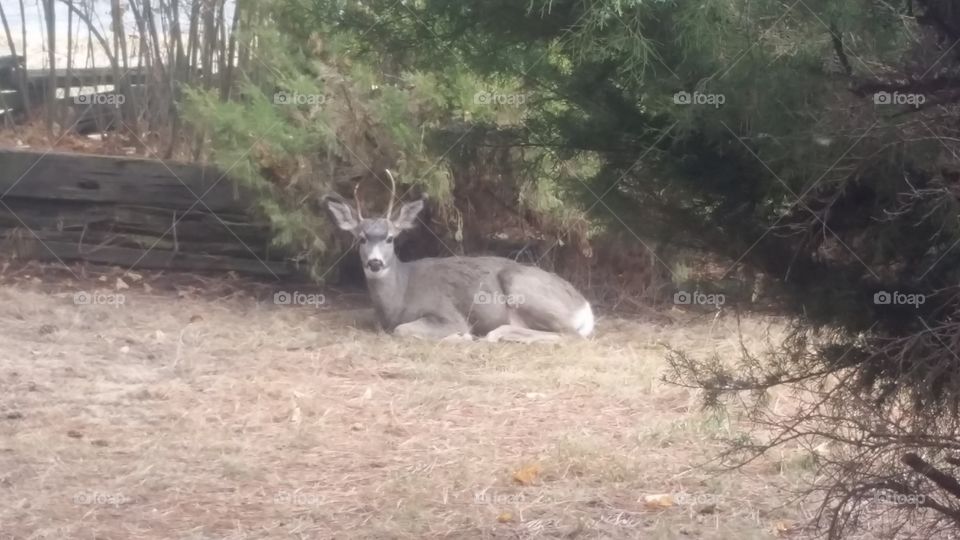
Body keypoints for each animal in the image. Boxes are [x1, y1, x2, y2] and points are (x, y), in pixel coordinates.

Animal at [323, 171, 595, 343]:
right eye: (361, 239)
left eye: (390, 238)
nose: (375, 262)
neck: (400, 296)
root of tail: (585, 307)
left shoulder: (447, 313)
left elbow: (402, 330)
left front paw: (461, 336)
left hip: (522, 287)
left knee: (570, 335)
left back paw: (494, 335)